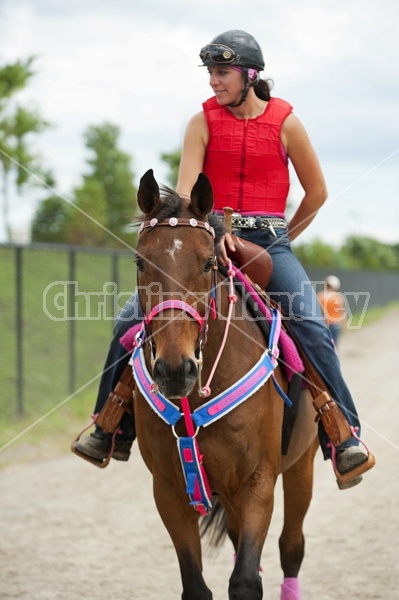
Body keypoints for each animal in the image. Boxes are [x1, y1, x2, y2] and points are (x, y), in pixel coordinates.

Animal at [133, 170, 318, 600]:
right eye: (140, 262)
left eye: (208, 263)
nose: (174, 369)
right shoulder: (168, 490)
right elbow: (197, 585)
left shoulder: (257, 483)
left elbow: (246, 580)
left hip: (302, 466)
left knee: (291, 546)